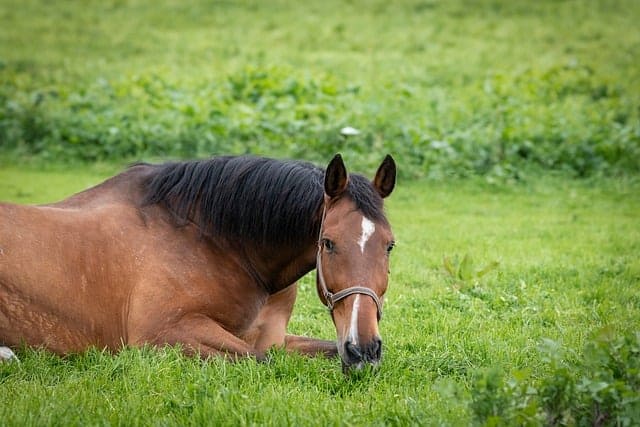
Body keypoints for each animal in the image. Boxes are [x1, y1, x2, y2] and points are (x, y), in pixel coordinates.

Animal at [0, 153, 396, 372]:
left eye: (390, 246)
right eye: (328, 243)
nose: (363, 349)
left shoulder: (274, 338)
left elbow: (313, 350)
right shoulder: (164, 334)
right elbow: (261, 360)